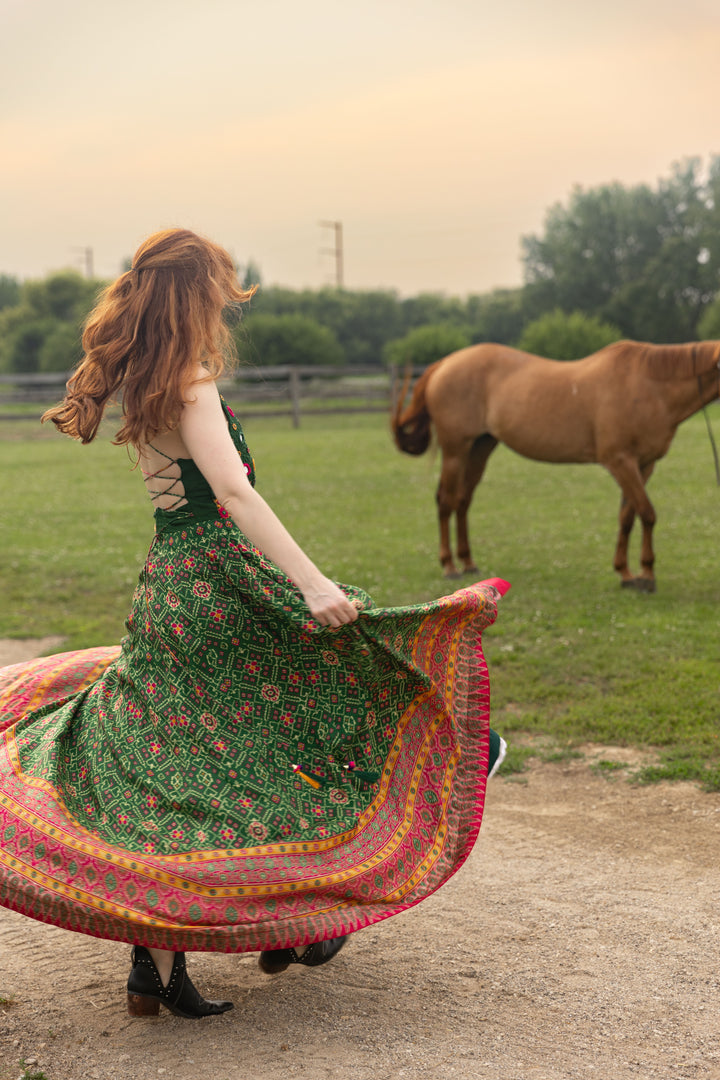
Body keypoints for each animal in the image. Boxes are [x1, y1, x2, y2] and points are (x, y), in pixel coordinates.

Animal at [395, 339, 720, 587]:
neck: (649, 387)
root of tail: (444, 364)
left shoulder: (644, 465)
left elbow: (628, 516)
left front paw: (627, 573)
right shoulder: (620, 462)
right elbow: (648, 513)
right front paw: (647, 575)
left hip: (480, 447)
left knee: (462, 501)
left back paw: (469, 562)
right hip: (455, 450)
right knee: (446, 502)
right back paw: (449, 567)